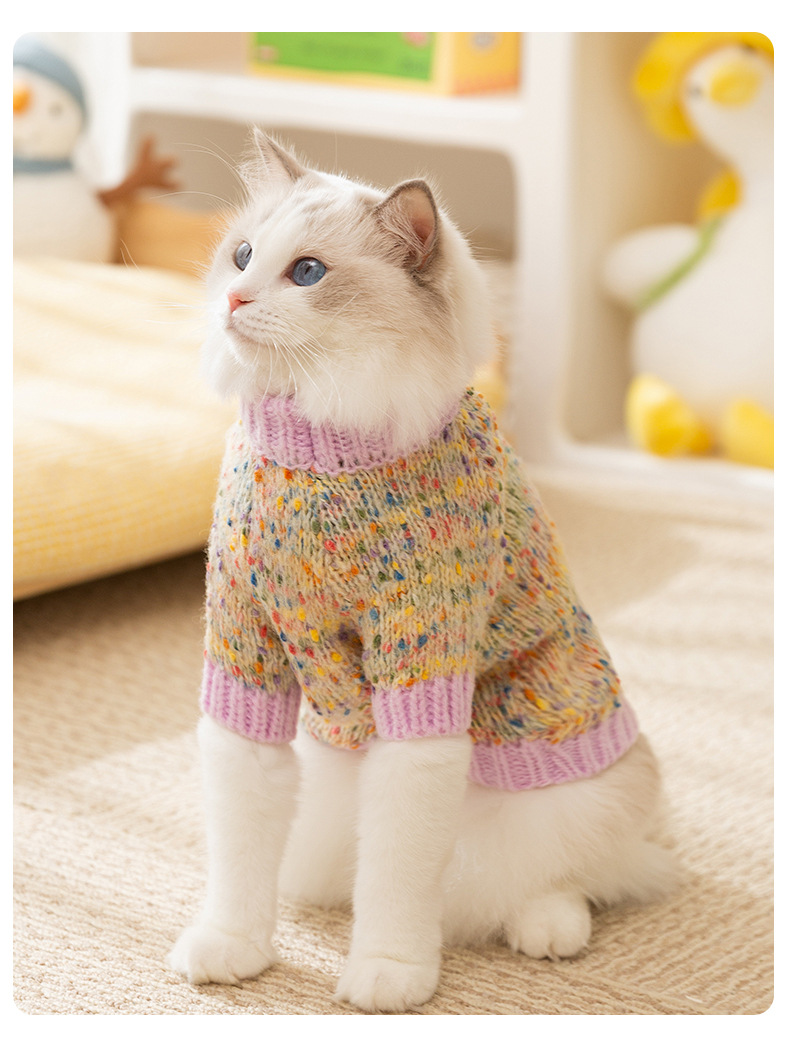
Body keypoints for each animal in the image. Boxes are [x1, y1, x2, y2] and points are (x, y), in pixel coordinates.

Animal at [168, 130, 678, 1013]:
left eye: (308, 273)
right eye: (241, 254)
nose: (233, 299)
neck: (325, 456)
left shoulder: (421, 680)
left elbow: (398, 876)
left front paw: (389, 973)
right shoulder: (247, 666)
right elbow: (239, 857)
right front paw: (233, 948)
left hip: (579, 790)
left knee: (578, 875)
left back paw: (546, 926)